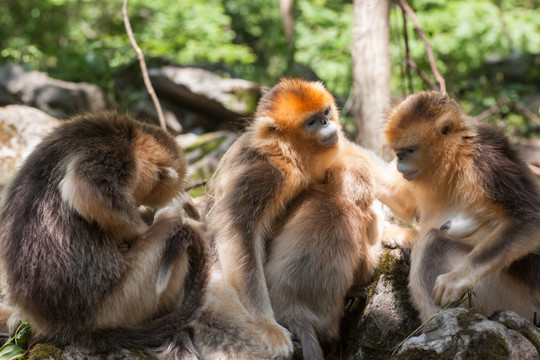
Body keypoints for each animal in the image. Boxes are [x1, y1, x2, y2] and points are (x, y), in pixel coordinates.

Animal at [0, 112, 209, 358]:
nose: (136, 206)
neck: (130, 136)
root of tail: (62, 327)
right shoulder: (116, 154)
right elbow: (84, 190)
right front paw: (137, 230)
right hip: (118, 303)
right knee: (173, 229)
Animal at [384, 91, 540, 322]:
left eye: (410, 150)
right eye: (398, 153)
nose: (399, 164)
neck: (457, 156)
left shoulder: (487, 162)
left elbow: (528, 221)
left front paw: (456, 279)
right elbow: (403, 203)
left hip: (515, 302)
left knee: (432, 242)